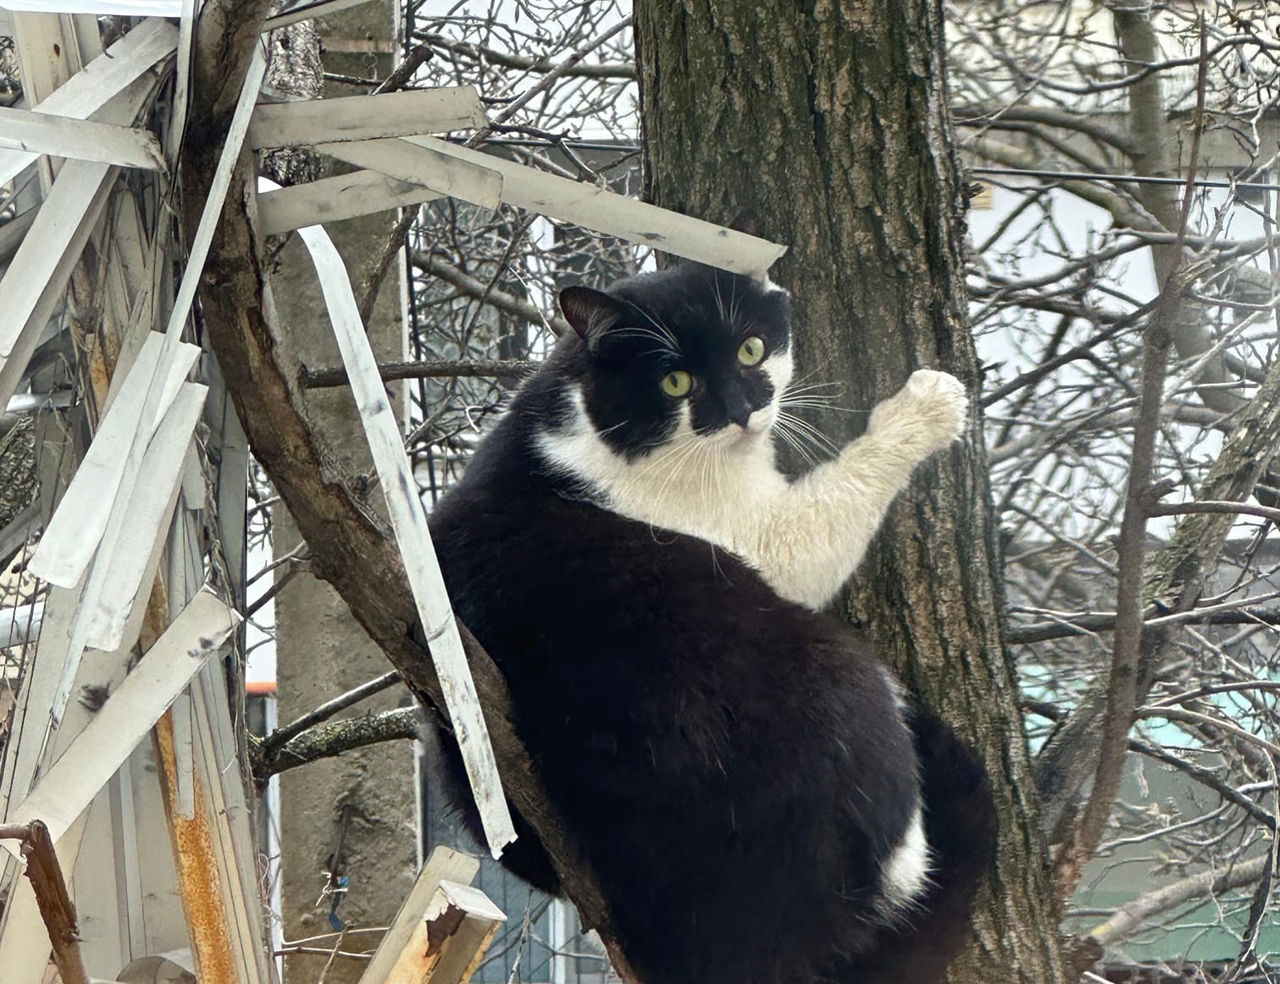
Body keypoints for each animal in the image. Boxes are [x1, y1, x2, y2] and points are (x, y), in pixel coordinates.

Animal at [424, 257, 993, 977]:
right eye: (675, 381)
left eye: (751, 349)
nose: (743, 412)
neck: (590, 425)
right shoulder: (762, 538)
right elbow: (835, 502)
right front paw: (926, 406)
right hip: (833, 676)